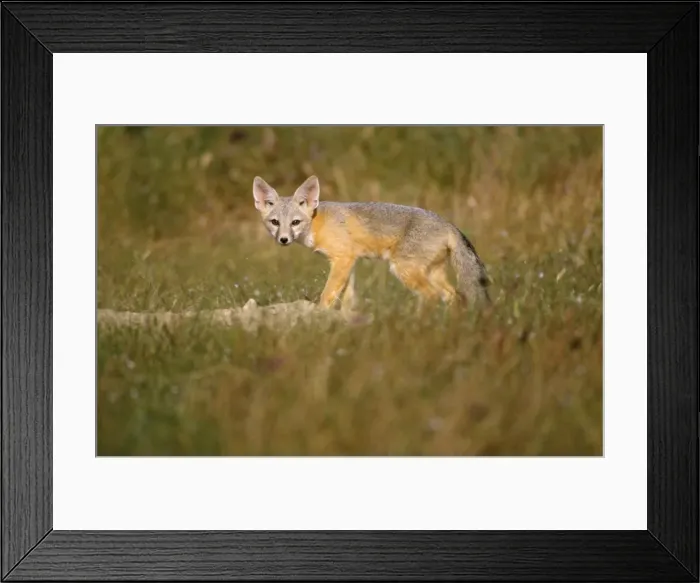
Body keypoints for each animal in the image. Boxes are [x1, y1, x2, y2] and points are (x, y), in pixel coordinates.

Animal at [252, 175, 490, 311]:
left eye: (295, 222)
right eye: (275, 223)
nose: (283, 239)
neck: (318, 222)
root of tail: (448, 224)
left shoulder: (343, 259)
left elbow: (327, 294)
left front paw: (320, 316)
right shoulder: (348, 263)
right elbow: (346, 298)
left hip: (404, 270)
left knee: (431, 296)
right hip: (432, 274)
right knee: (455, 297)